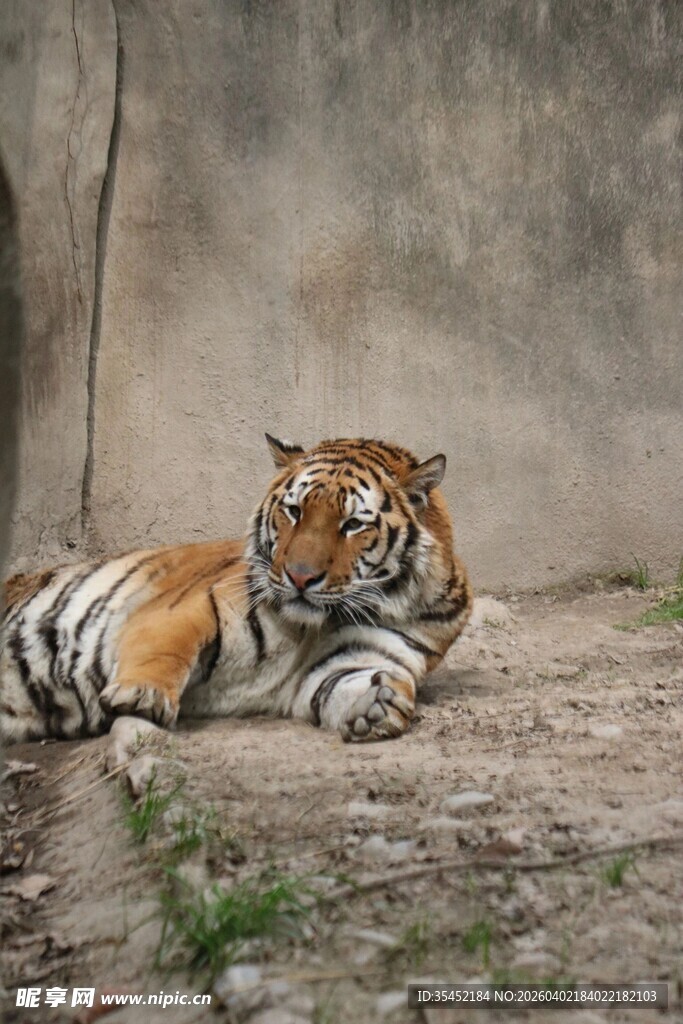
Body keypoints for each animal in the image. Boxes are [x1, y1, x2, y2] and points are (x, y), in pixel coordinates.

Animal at [0, 436, 472, 745]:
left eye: (353, 524)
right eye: (294, 511)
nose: (301, 577)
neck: (317, 623)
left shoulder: (351, 658)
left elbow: (346, 682)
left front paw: (379, 701)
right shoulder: (186, 608)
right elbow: (166, 648)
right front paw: (143, 695)